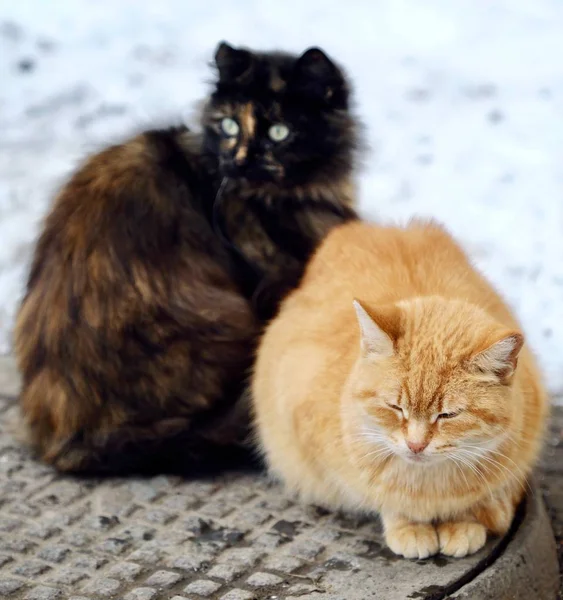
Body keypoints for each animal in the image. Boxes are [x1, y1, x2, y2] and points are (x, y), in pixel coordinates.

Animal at [252, 220, 552, 556]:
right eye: (395, 407)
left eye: (448, 415)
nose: (416, 445)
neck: (430, 487)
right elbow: (386, 496)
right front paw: (409, 525)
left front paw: (462, 522)